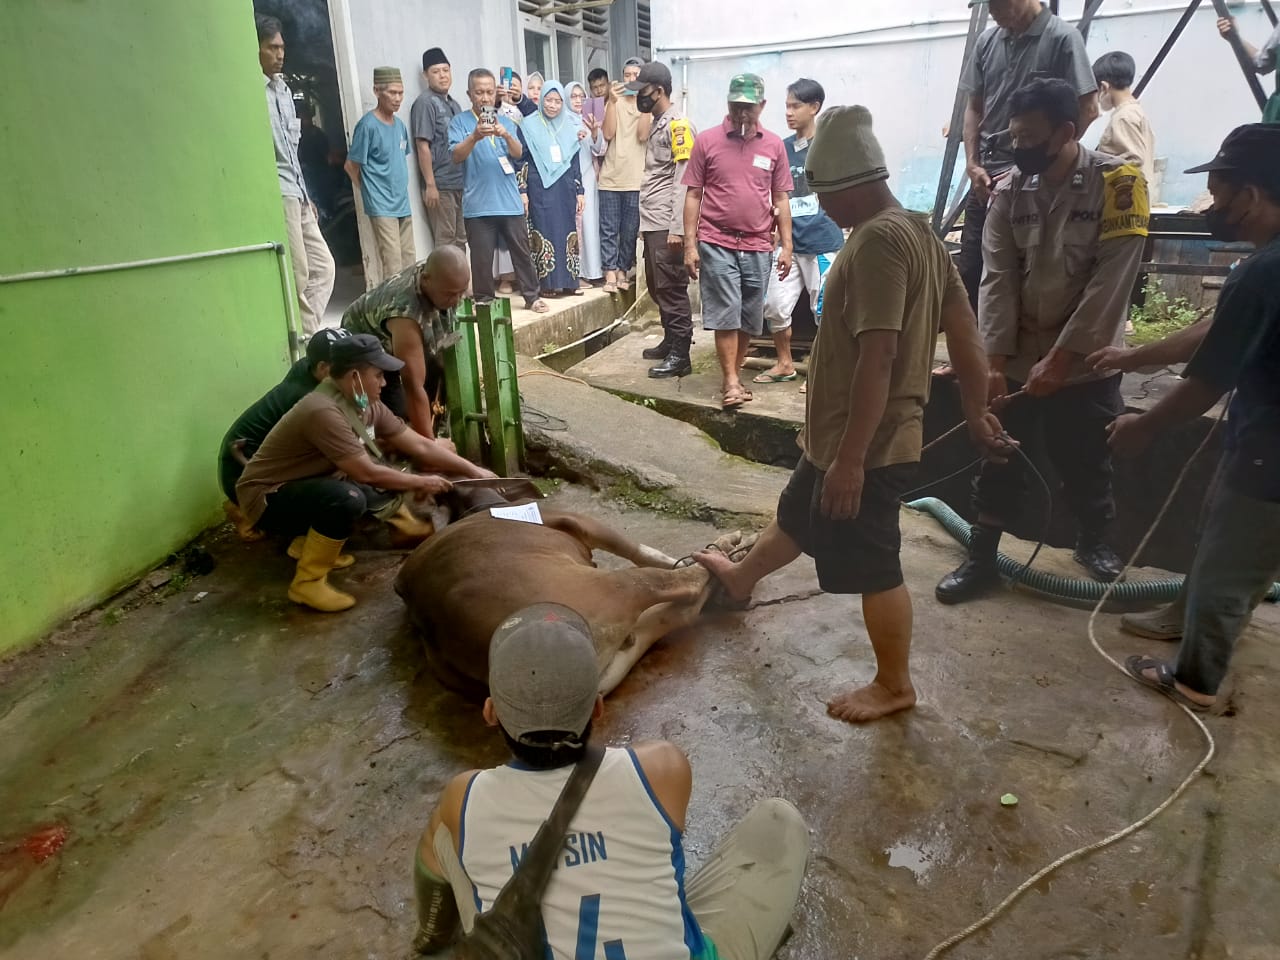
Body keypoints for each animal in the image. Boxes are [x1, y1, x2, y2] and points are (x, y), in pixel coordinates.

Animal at [396, 491, 747, 701]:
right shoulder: (579, 521)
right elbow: (639, 549)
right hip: (612, 588)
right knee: (676, 583)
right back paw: (724, 551)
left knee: (676, 612)